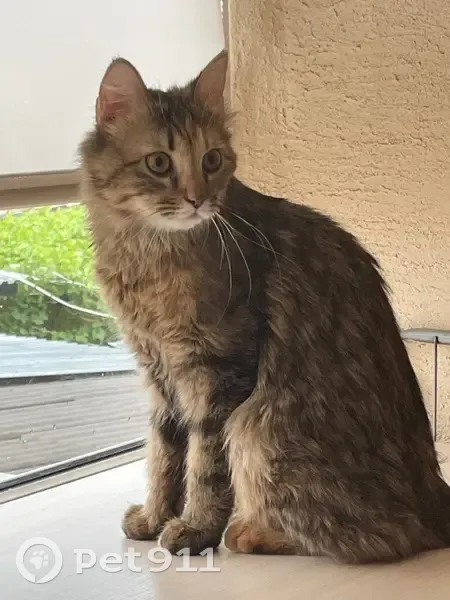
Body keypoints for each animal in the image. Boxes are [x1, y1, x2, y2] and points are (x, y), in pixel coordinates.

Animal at [79, 50, 450, 563]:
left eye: (212, 160)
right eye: (158, 163)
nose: (197, 199)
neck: (146, 254)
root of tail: (434, 493)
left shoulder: (219, 370)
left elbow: (204, 465)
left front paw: (194, 528)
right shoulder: (157, 370)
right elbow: (162, 456)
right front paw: (154, 518)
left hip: (258, 429)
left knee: (381, 538)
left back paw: (250, 532)